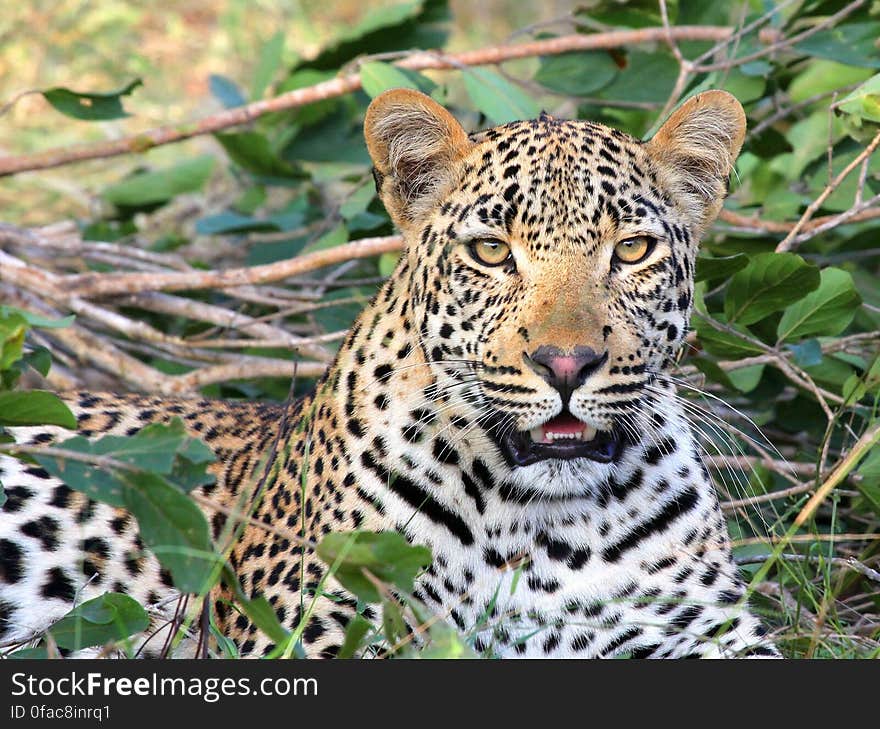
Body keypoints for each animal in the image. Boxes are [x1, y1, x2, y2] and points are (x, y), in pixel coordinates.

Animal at [3, 88, 780, 656]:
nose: (566, 364)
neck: (542, 530)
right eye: (492, 252)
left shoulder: (708, 636)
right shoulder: (312, 629)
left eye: (633, 249)